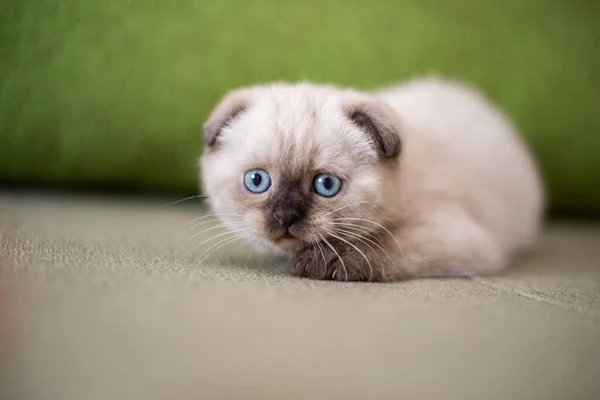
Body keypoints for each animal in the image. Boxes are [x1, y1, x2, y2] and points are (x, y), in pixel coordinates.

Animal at [200, 77, 544, 282]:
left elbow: (380, 244)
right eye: (257, 181)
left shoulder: (456, 235)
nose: (285, 217)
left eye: (326, 185)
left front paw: (324, 261)